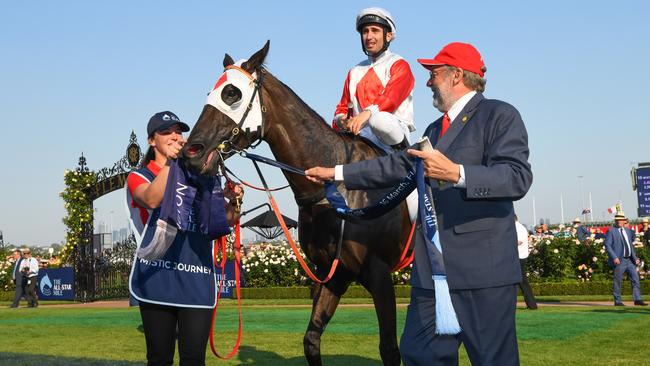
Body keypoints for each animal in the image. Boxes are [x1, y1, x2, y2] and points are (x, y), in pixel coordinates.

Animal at [180, 41, 408, 364]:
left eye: (231, 93)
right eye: (210, 92)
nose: (191, 153)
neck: (338, 187)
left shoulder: (379, 274)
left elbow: (389, 348)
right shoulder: (331, 273)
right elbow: (311, 340)